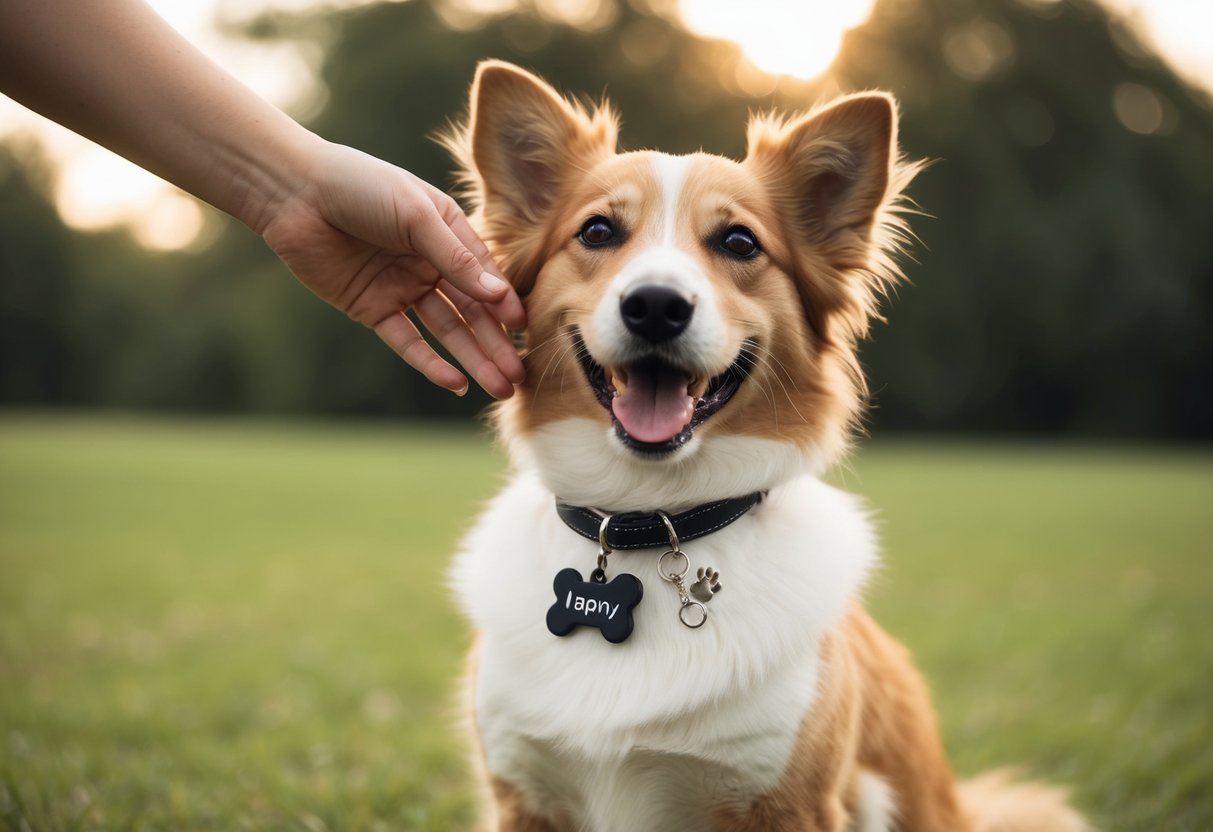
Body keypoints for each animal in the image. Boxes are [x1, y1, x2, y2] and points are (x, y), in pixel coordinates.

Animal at [441, 60, 1086, 832]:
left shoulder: (790, 804)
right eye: (596, 231)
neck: (646, 518)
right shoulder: (526, 797)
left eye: (739, 243)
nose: (655, 305)